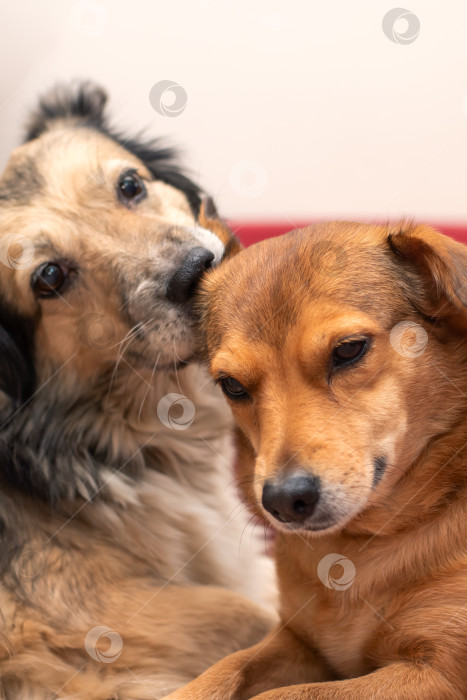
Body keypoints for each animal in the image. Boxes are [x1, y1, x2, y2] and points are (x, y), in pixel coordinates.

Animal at [164, 223, 467, 700]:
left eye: (349, 350)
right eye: (231, 385)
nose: (284, 502)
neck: (359, 548)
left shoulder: (436, 671)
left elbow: (286, 695)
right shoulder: (299, 641)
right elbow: (225, 668)